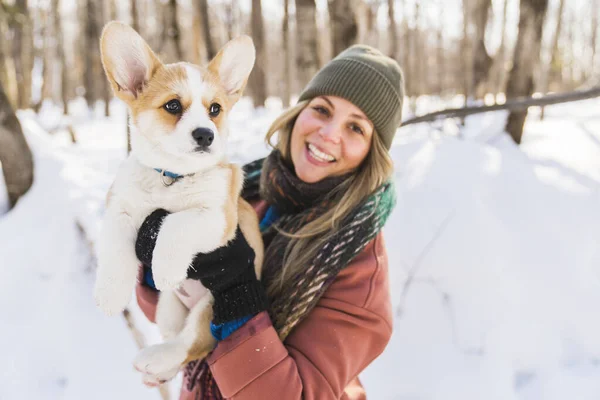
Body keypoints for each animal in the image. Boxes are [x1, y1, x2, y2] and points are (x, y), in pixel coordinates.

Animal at [94, 22, 262, 388]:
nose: (205, 135)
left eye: (215, 109)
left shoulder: (218, 219)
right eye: (172, 106)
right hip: (168, 310)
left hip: (211, 307)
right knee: (177, 336)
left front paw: (166, 268)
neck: (172, 177)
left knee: (194, 343)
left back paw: (156, 359)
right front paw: (110, 294)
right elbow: (115, 249)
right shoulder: (120, 208)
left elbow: (176, 223)